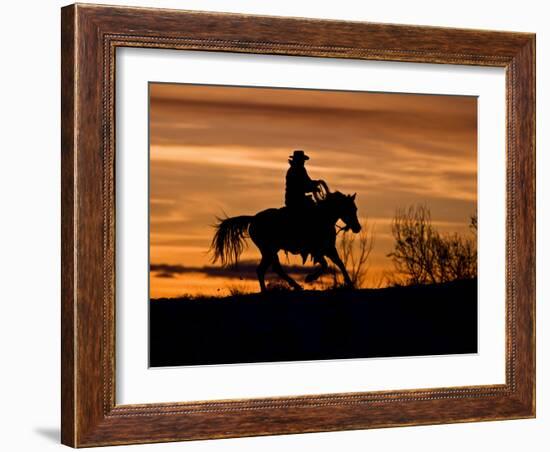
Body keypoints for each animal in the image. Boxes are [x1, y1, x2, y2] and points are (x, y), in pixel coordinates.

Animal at [211, 188, 362, 292]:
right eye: (350, 209)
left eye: (355, 208)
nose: (357, 228)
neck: (323, 217)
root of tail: (253, 218)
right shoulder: (318, 250)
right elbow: (325, 265)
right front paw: (309, 278)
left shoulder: (328, 248)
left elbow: (339, 263)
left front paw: (350, 283)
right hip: (269, 250)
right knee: (272, 268)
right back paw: (293, 286)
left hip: (269, 251)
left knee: (264, 269)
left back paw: (270, 290)